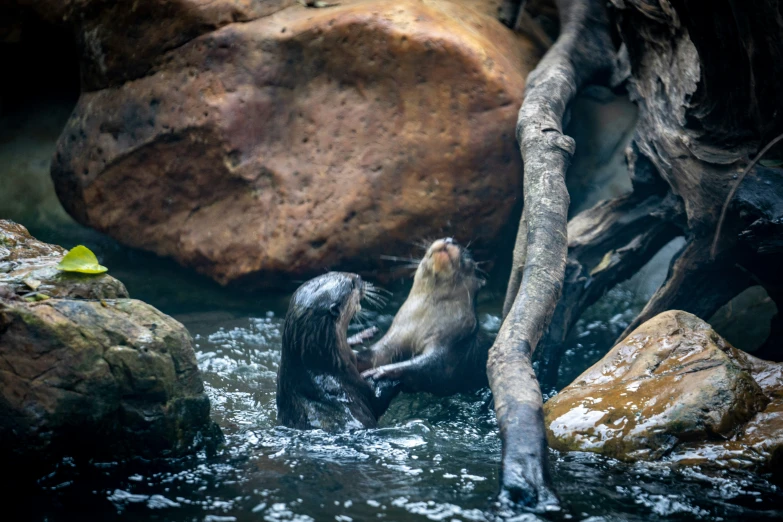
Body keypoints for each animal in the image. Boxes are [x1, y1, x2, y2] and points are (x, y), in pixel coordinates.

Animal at [278, 270, 398, 428]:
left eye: (333, 271)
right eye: (352, 285)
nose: (359, 277)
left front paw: (363, 334)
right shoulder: (351, 385)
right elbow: (377, 402)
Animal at [356, 238, 490, 392]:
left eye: (467, 253)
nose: (450, 239)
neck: (422, 323)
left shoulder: (455, 339)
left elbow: (431, 365)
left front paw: (382, 370)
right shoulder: (396, 336)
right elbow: (375, 353)